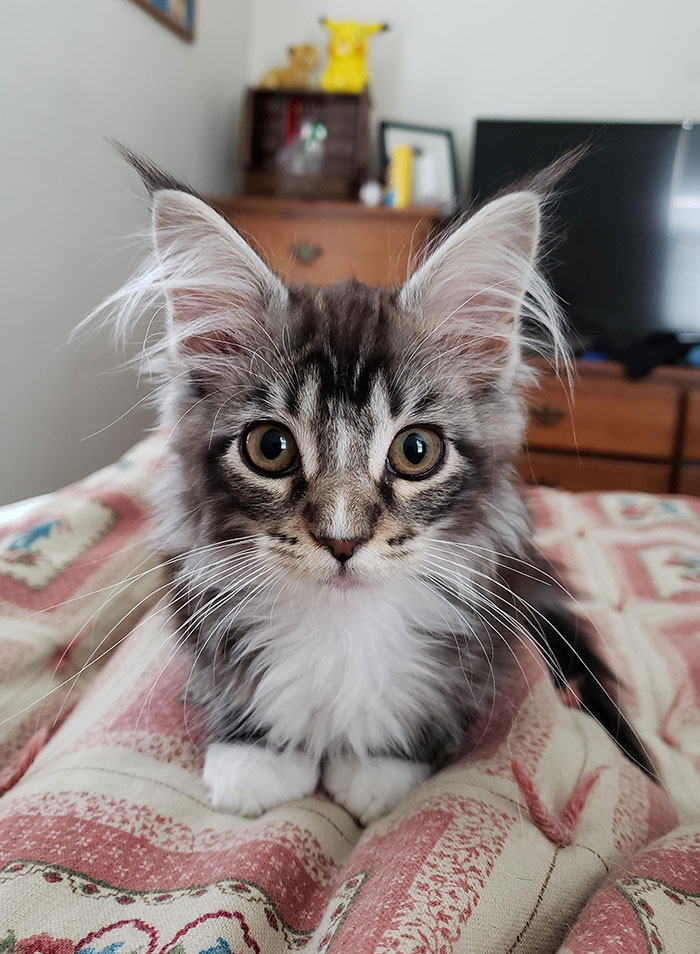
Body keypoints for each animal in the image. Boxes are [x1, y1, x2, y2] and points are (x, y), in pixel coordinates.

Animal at [98, 152, 652, 820]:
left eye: (416, 452)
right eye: (270, 447)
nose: (342, 541)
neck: (341, 626)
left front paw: (381, 768)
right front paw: (255, 756)